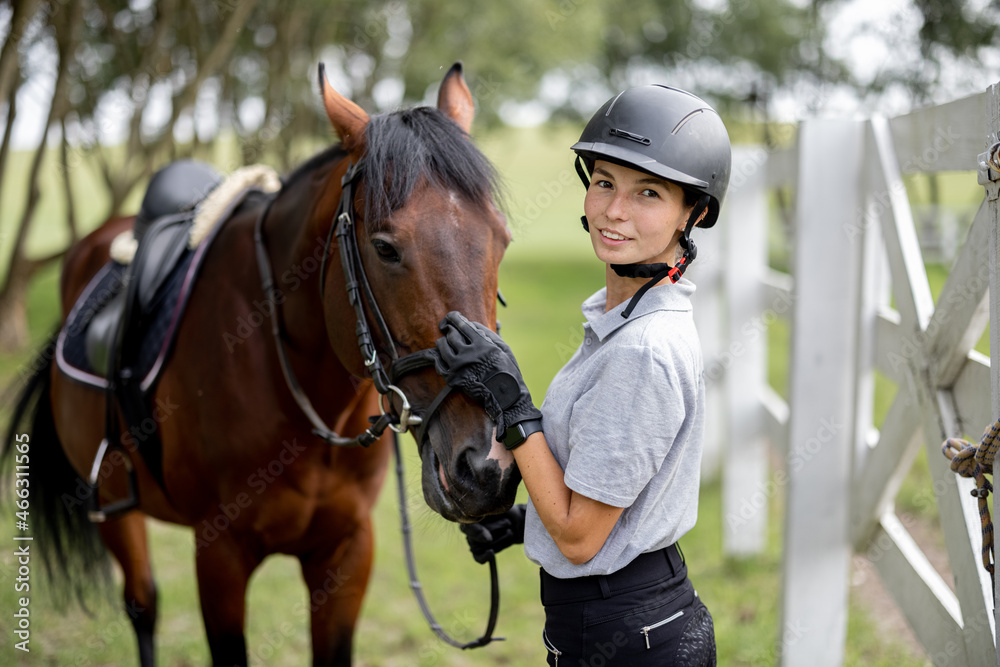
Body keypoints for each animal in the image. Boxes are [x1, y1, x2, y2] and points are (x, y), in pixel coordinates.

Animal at [7, 64, 520, 667]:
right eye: (385, 248)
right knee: (143, 606)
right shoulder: (220, 557)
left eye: (501, 240)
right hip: (113, 504)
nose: (485, 467)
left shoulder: (347, 552)